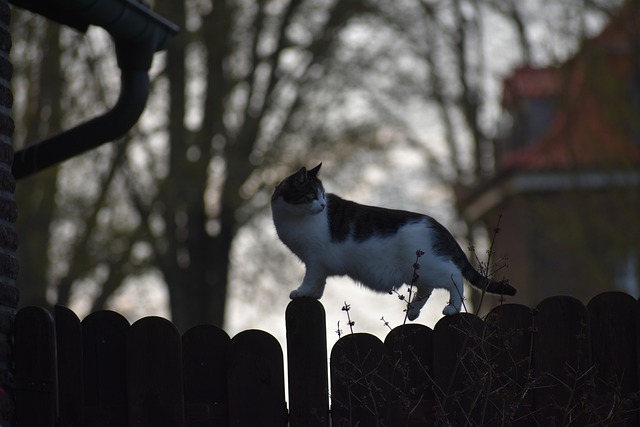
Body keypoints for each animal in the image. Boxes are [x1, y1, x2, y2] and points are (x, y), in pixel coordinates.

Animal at [270, 164, 516, 320]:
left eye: (321, 195)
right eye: (313, 195)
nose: (322, 205)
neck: (291, 217)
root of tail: (437, 225)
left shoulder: (314, 260)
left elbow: (310, 278)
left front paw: (302, 292)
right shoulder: (320, 265)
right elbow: (319, 283)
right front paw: (314, 295)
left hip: (430, 267)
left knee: (454, 277)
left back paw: (452, 309)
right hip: (419, 271)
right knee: (426, 288)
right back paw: (413, 311)